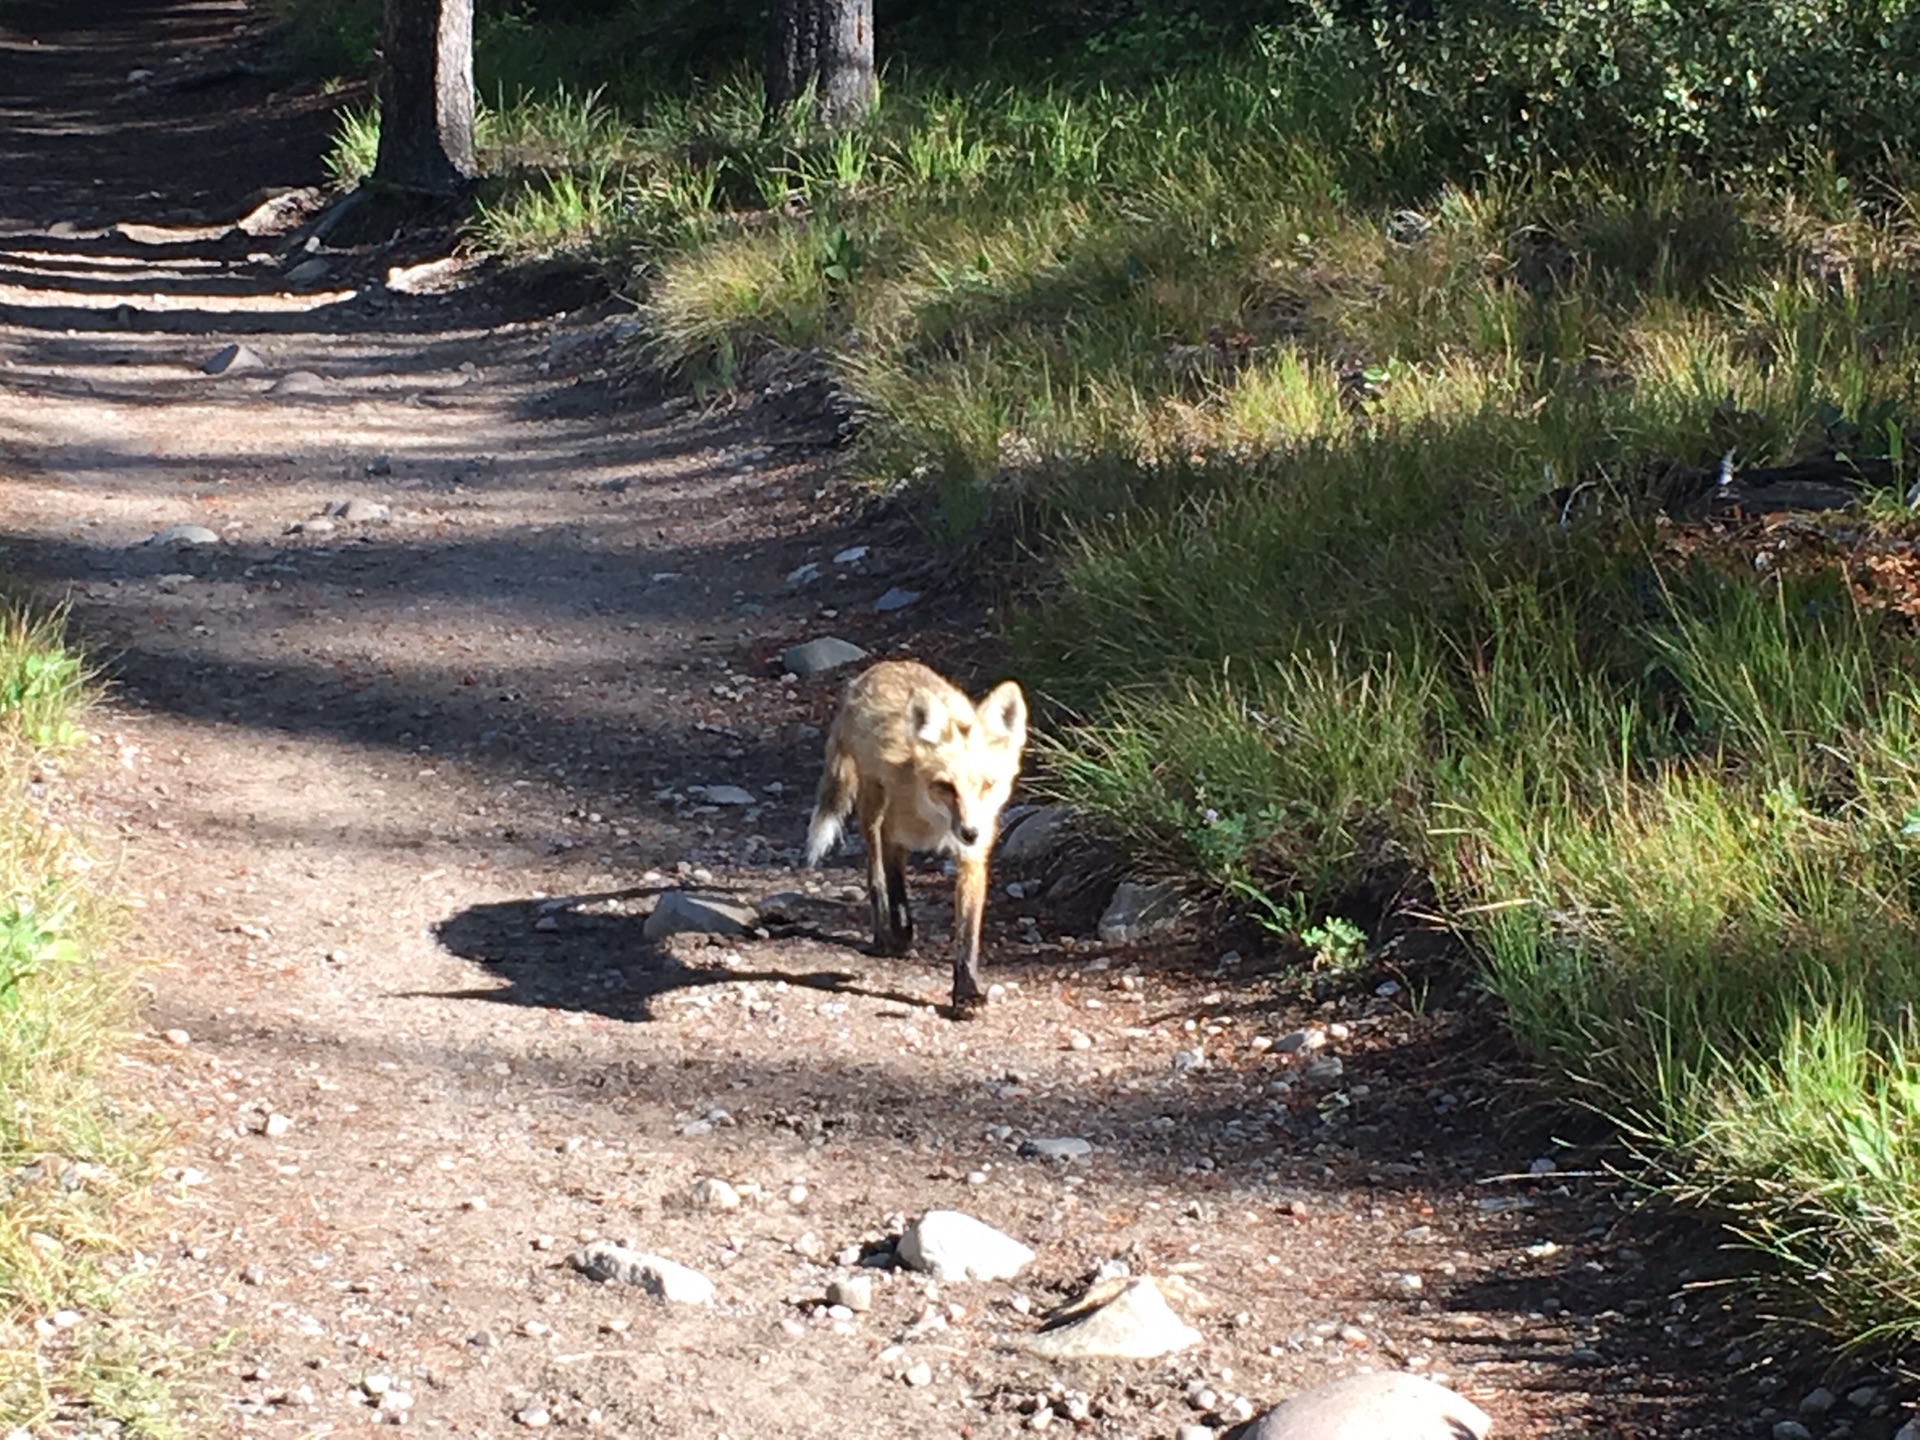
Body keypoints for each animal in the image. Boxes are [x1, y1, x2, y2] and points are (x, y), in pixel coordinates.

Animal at [802, 664, 1029, 1013]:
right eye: (946, 787)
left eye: (988, 785)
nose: (970, 832)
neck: (937, 823)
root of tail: (882, 667)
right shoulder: (892, 835)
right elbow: (897, 895)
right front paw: (901, 936)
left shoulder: (972, 858)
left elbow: (967, 934)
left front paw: (966, 992)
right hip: (872, 807)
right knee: (875, 878)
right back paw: (882, 936)